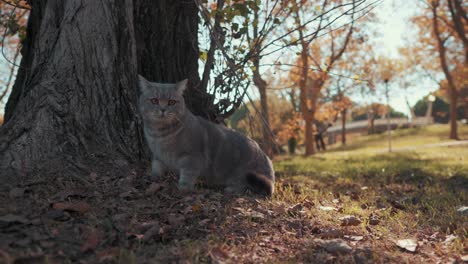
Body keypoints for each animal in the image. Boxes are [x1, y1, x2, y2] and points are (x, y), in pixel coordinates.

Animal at [137, 75, 274, 195]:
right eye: (154, 100)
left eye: (171, 102)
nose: (163, 109)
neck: (159, 134)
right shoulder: (157, 156)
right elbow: (156, 168)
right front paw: (153, 179)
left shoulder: (192, 158)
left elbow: (187, 176)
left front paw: (183, 189)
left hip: (246, 174)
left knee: (247, 187)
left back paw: (231, 189)